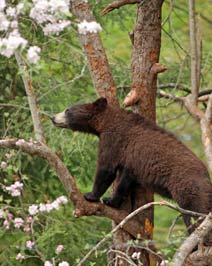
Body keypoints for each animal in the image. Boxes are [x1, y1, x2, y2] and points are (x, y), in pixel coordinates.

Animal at [51, 98, 212, 232]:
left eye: (68, 110)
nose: (52, 117)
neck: (105, 123)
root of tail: (207, 177)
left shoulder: (114, 140)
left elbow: (106, 167)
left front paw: (91, 195)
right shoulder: (131, 160)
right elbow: (125, 179)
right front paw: (112, 200)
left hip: (188, 188)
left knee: (194, 212)